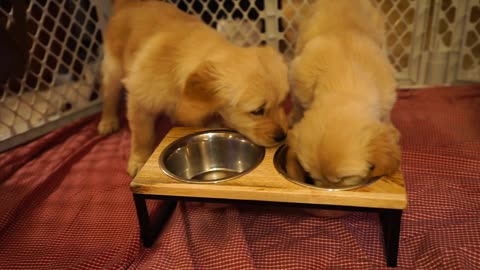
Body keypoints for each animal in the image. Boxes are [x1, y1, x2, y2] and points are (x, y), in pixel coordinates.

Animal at [95, 0, 286, 177]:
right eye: (257, 111)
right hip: (113, 68)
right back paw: (107, 121)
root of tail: (130, 3)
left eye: (282, 103)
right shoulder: (139, 99)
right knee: (109, 94)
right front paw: (138, 160)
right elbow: (142, 135)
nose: (282, 136)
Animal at [284, 0, 402, 212]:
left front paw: (392, 130)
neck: (345, 78)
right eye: (312, 177)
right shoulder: (297, 81)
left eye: (344, 179)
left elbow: (386, 116)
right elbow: (298, 104)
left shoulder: (388, 95)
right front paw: (294, 117)